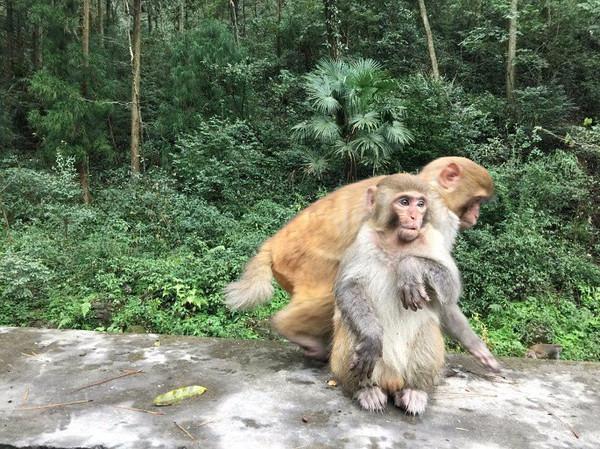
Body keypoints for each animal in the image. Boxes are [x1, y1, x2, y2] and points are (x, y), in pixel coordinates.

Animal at [225, 156, 492, 362]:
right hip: (303, 262)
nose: (476, 215)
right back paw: (289, 327)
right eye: (477, 201)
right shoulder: (438, 217)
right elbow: (445, 287)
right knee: (335, 288)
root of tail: (273, 245)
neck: (432, 189)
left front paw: (473, 344)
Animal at [332, 173, 496, 414]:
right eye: (404, 202)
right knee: (350, 327)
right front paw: (371, 337)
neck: (396, 242)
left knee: (427, 327)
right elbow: (348, 287)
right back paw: (366, 390)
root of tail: (392, 381)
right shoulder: (363, 239)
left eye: (420, 204)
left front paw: (409, 267)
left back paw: (414, 391)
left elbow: (450, 290)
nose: (414, 216)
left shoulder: (433, 238)